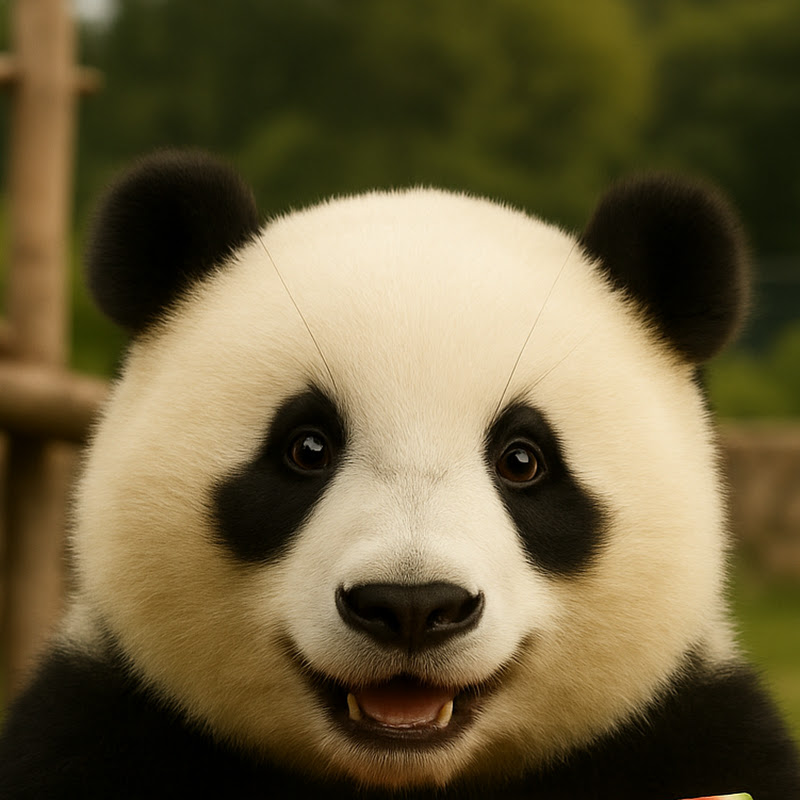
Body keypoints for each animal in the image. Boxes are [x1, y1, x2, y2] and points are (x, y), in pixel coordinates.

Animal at [0, 151, 798, 799]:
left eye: (522, 460)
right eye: (307, 448)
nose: (412, 605)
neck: (401, 780)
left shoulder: (692, 742)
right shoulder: (98, 732)